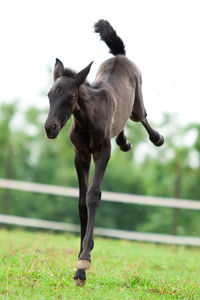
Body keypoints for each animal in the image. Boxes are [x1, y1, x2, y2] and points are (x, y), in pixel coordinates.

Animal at [44, 19, 164, 286]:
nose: (50, 128)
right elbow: (81, 201)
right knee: (123, 125)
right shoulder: (80, 154)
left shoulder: (101, 152)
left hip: (137, 103)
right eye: (49, 95)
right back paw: (125, 142)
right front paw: (80, 255)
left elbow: (93, 196)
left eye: (70, 97)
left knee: (141, 116)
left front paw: (83, 264)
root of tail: (120, 55)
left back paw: (156, 137)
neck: (88, 118)